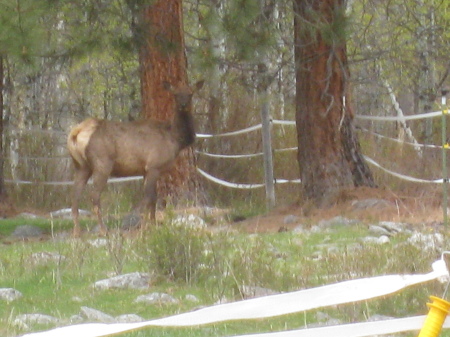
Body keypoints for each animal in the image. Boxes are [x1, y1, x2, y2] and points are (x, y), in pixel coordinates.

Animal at [67, 79, 204, 235]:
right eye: (175, 94)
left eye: (190, 93)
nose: (183, 105)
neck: (175, 139)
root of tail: (76, 132)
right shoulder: (154, 165)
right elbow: (149, 197)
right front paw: (145, 227)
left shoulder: (146, 170)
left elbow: (153, 198)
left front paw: (153, 223)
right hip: (102, 163)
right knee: (94, 196)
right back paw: (103, 230)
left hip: (81, 166)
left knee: (75, 196)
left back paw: (77, 232)